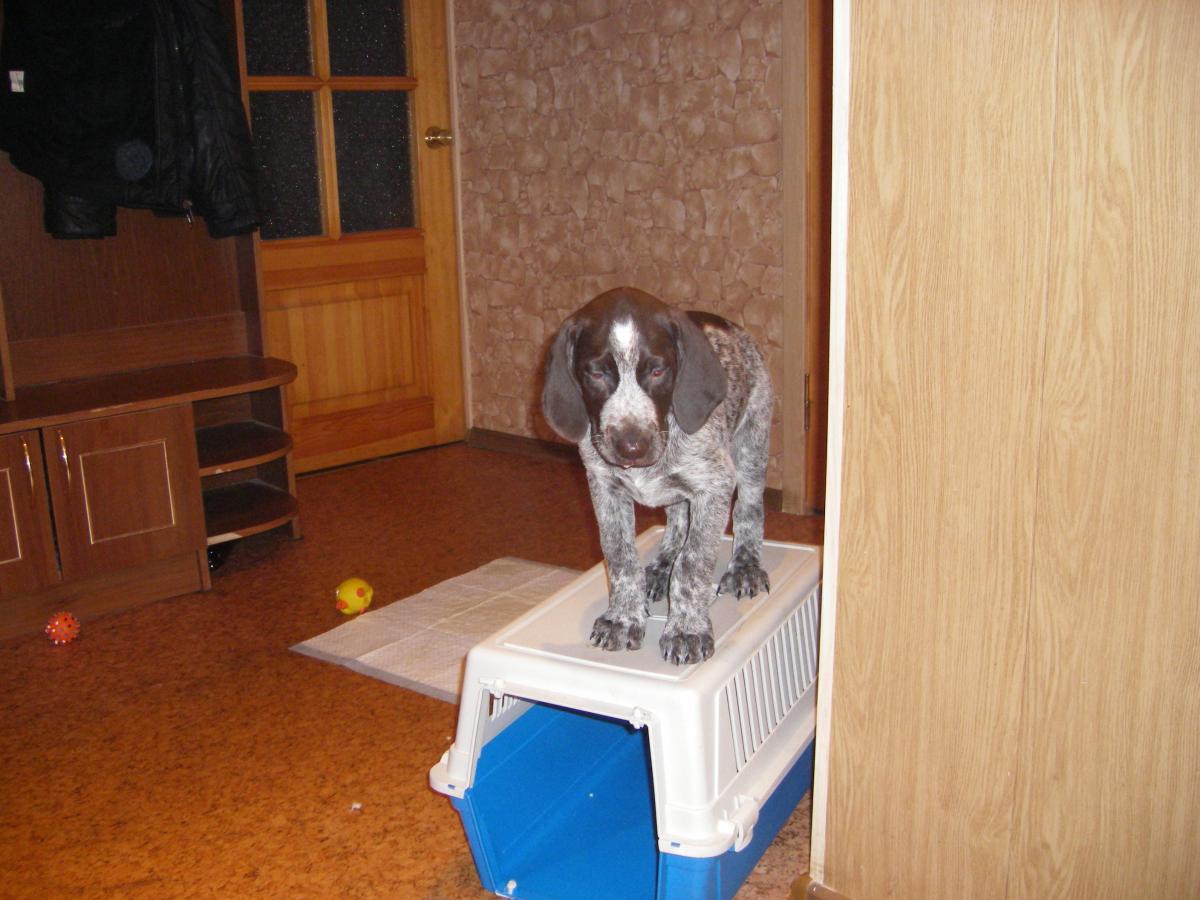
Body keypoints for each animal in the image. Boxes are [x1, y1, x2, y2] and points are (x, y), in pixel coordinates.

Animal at [542, 286, 773, 665]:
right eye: (596, 373)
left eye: (658, 371)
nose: (631, 446)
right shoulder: (604, 487)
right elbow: (620, 557)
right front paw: (623, 618)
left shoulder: (714, 486)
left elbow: (692, 564)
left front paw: (687, 629)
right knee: (677, 521)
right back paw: (661, 567)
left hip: (753, 441)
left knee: (749, 509)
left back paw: (745, 567)